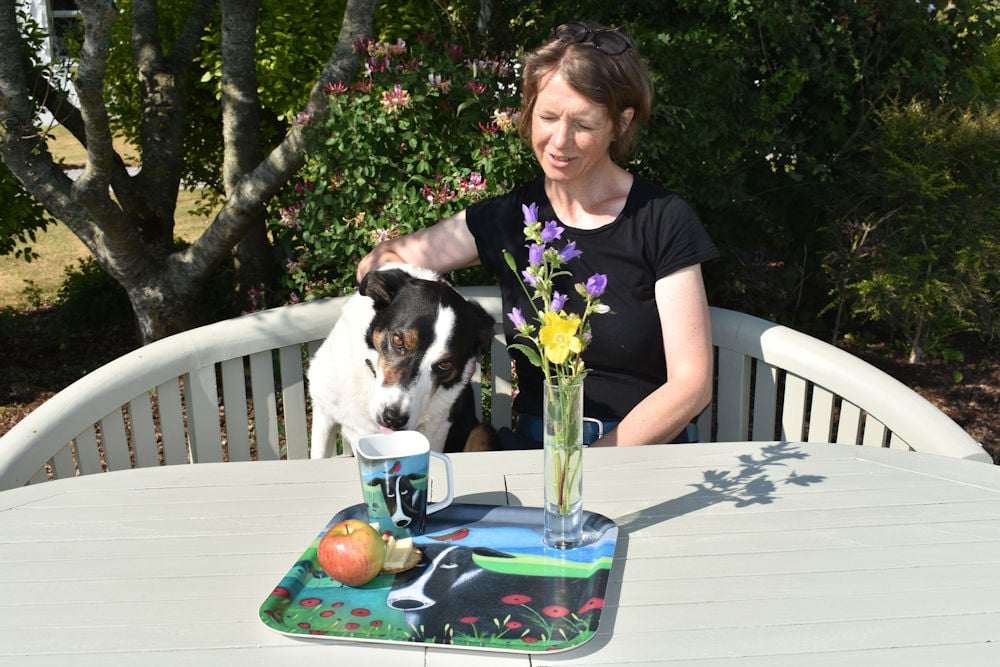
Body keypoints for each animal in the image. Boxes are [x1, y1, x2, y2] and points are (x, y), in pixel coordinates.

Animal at [304, 266, 492, 460]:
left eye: (445, 364)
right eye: (398, 340)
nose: (393, 419)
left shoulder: (436, 431)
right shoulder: (324, 412)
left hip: (481, 431)